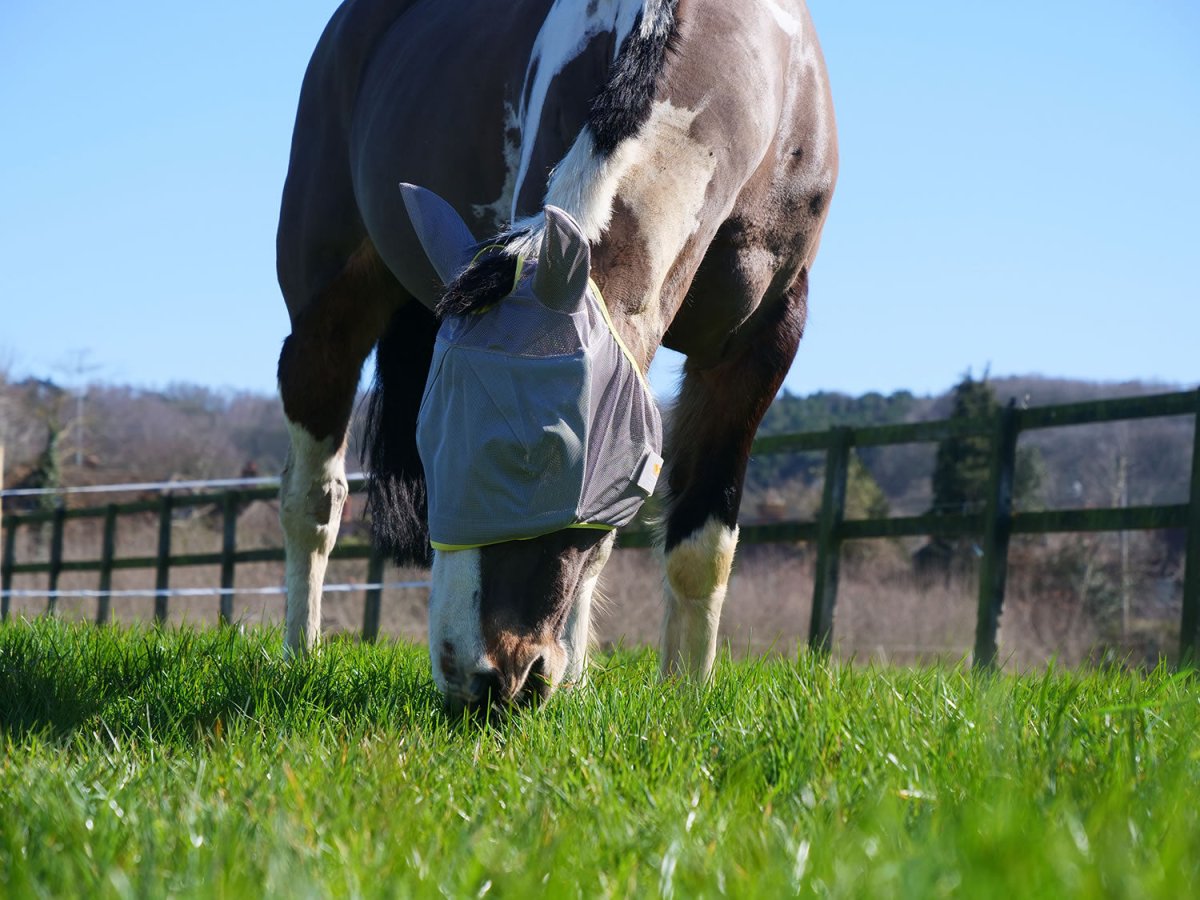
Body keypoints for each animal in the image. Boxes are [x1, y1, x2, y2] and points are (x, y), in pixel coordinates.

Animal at [276, 0, 840, 710]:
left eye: (550, 452)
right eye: (429, 444)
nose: (480, 679)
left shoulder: (758, 348)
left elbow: (699, 545)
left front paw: (685, 696)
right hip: (326, 315)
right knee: (313, 501)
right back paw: (300, 655)